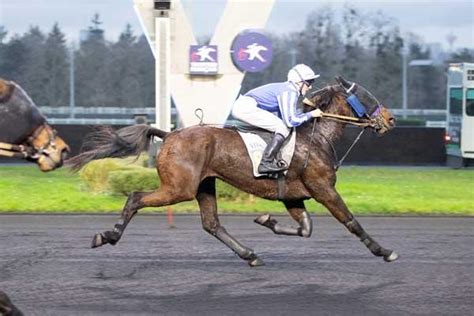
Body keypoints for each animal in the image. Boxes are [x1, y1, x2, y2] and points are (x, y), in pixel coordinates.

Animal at [68, 76, 398, 266]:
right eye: (366, 96)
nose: (391, 119)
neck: (315, 138)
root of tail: (170, 135)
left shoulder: (293, 196)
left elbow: (306, 229)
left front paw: (266, 220)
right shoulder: (323, 189)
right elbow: (351, 222)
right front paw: (384, 251)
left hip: (203, 185)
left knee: (212, 224)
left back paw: (250, 255)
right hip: (179, 188)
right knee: (136, 197)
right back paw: (108, 235)